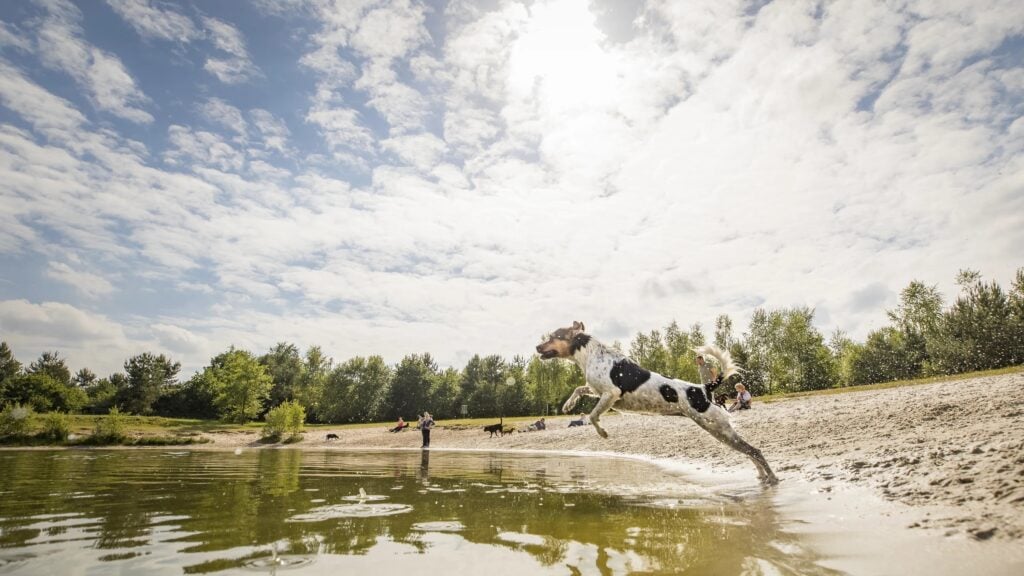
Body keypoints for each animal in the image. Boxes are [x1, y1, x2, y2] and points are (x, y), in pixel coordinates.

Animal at [536, 319, 774, 481]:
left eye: (553, 336)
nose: (537, 347)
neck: (590, 353)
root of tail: (704, 388)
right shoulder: (597, 390)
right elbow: (579, 389)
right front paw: (568, 404)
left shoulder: (611, 394)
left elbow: (594, 415)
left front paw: (603, 433)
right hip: (718, 431)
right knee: (750, 451)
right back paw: (762, 476)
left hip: (717, 426)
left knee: (755, 450)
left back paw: (771, 477)